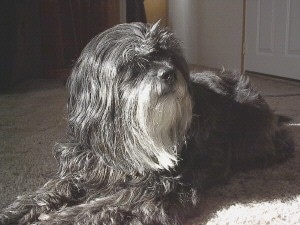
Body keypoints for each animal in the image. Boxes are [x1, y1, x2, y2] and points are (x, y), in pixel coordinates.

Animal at [0, 21, 294, 225]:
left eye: (171, 57)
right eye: (136, 63)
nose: (169, 73)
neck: (123, 139)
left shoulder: (156, 189)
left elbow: (106, 204)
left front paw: (60, 218)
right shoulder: (83, 167)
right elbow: (50, 188)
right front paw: (15, 211)